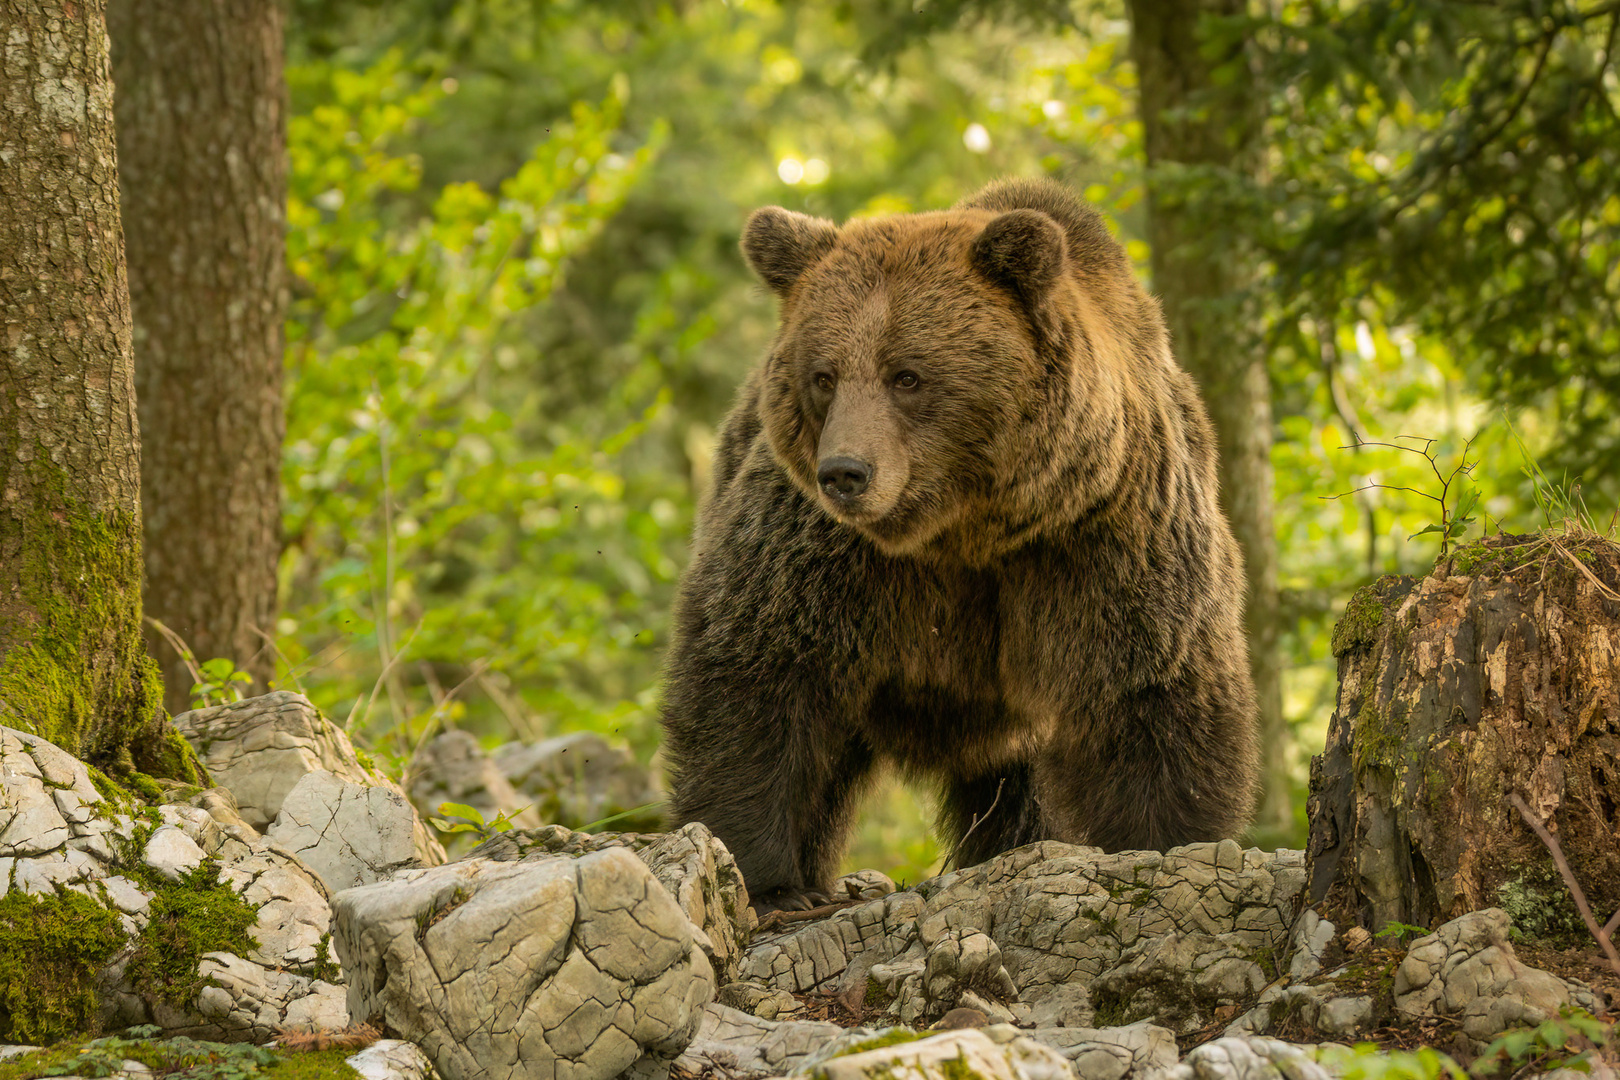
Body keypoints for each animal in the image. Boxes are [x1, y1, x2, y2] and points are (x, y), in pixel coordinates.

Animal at [660, 177, 1263, 913]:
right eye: (824, 375)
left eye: (907, 375)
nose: (844, 473)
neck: (964, 528)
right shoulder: (826, 549)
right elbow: (763, 666)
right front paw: (771, 883)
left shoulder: (1100, 534)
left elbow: (1148, 684)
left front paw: (1163, 848)